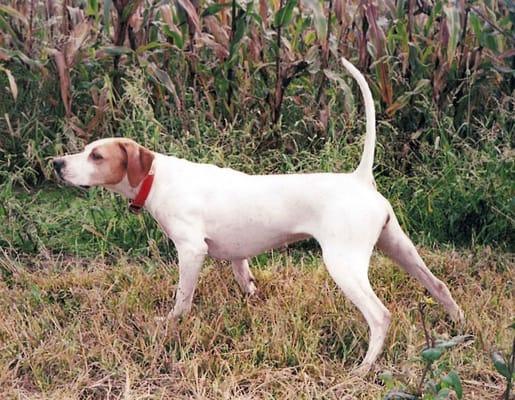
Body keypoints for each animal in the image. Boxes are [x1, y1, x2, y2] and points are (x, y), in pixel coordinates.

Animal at [52, 57, 464, 374]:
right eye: (85, 150)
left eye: (96, 156)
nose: (56, 163)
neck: (157, 178)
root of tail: (359, 179)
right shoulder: (238, 256)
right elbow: (246, 281)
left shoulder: (191, 251)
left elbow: (182, 299)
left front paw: (171, 325)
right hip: (400, 248)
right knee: (440, 286)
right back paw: (459, 327)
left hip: (344, 264)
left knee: (380, 315)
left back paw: (362, 368)